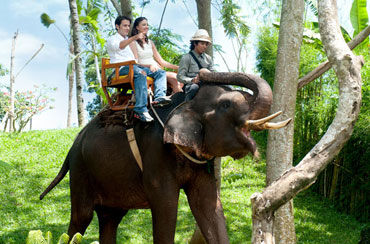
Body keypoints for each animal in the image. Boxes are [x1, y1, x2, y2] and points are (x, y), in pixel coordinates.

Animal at [39, 72, 290, 244]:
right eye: (226, 104)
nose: (201, 73)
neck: (184, 102)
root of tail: (74, 143)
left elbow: (207, 205)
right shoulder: (155, 153)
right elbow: (165, 204)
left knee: (110, 217)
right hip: (81, 170)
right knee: (81, 217)